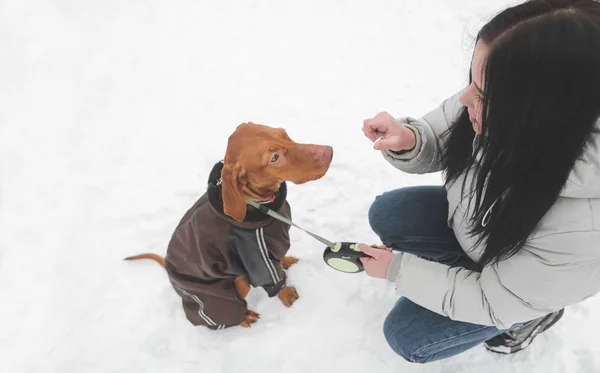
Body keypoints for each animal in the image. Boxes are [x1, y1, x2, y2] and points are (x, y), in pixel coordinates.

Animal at [126, 123, 332, 328]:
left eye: (284, 133)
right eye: (274, 157)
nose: (329, 151)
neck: (258, 205)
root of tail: (170, 273)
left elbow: (279, 260)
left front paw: (285, 260)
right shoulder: (259, 260)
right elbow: (274, 280)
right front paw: (286, 294)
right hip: (229, 289)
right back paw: (244, 317)